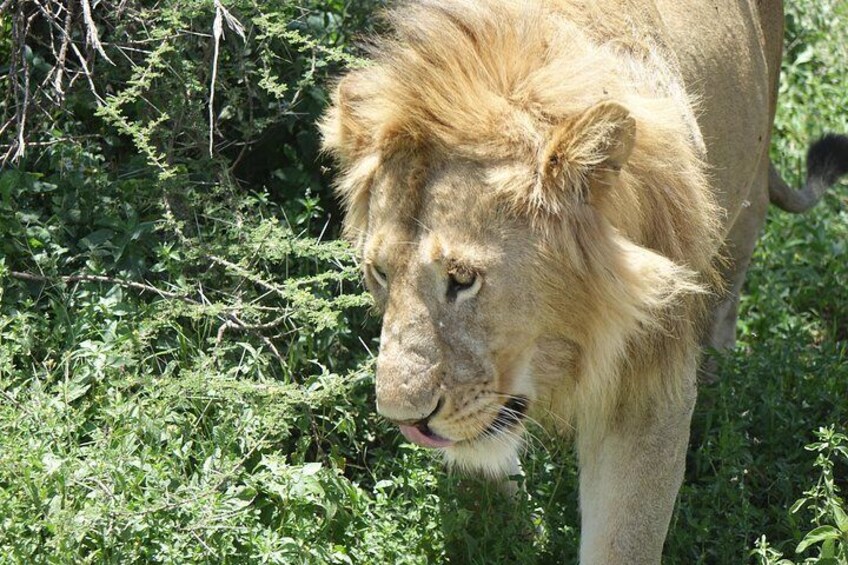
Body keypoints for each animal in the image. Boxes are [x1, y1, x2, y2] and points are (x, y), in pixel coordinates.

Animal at [316, 0, 848, 560]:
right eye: (379, 272)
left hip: (748, 194)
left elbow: (625, 539)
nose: (405, 421)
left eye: (462, 279)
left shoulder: (645, 384)